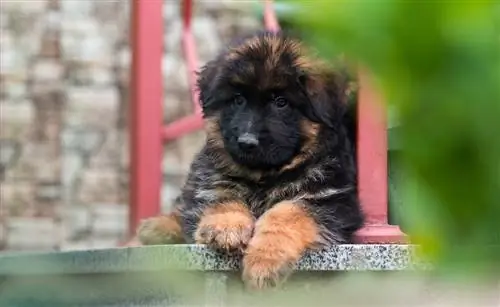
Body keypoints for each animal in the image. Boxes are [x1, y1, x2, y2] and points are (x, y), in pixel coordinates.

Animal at [137, 31, 364, 292]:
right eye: (238, 100)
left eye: (281, 102)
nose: (246, 142)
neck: (265, 177)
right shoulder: (212, 178)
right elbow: (223, 195)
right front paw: (226, 227)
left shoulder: (331, 200)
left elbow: (287, 213)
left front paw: (264, 261)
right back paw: (157, 227)